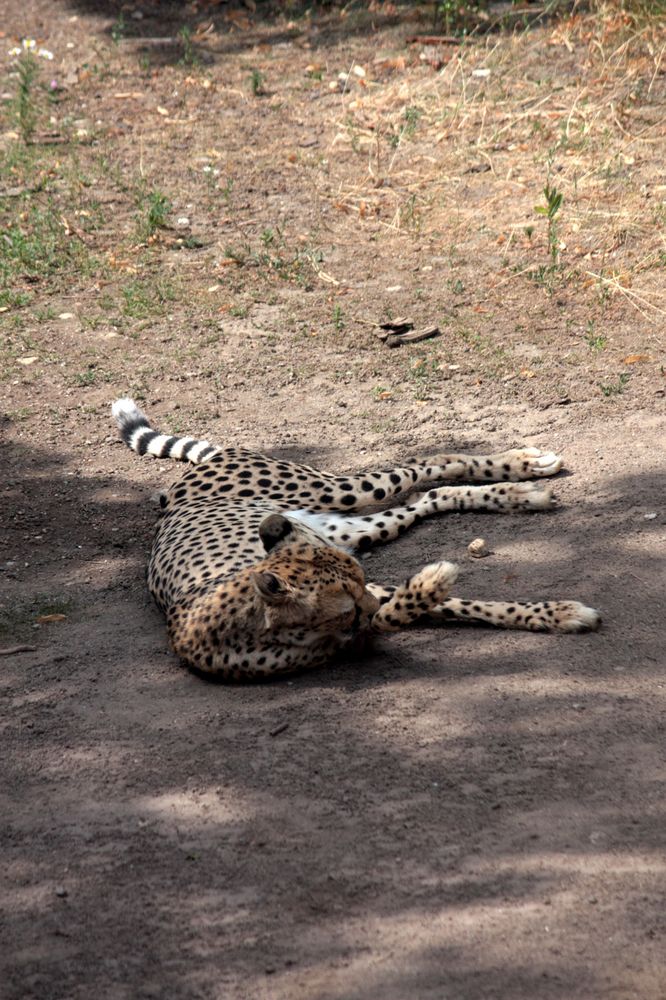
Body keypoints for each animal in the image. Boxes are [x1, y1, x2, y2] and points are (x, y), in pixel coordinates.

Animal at [111, 398, 600, 680]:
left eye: (357, 585)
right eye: (345, 602)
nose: (273, 527)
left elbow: (460, 603)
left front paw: (558, 613)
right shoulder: (356, 632)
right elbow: (410, 611)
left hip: (338, 491)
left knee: (430, 463)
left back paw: (523, 468)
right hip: (348, 527)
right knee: (428, 496)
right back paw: (519, 492)